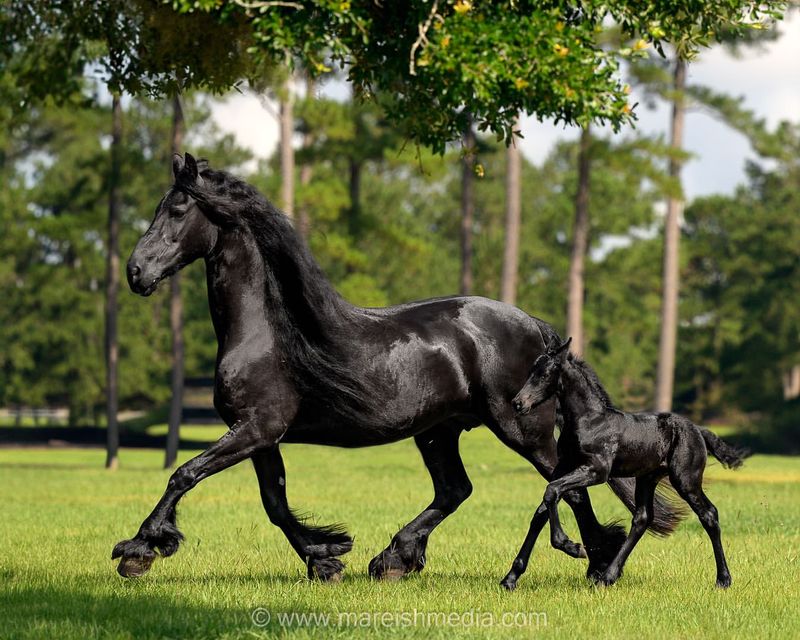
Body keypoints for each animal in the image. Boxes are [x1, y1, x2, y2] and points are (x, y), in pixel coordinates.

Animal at [112, 152, 680, 584]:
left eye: (177, 208)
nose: (135, 272)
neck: (268, 333)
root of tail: (536, 329)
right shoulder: (262, 436)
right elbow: (274, 503)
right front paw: (325, 558)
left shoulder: (255, 429)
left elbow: (184, 473)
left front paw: (139, 549)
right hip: (438, 431)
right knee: (456, 490)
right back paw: (393, 559)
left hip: (522, 428)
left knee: (569, 486)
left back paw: (598, 563)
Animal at [506, 340, 752, 592]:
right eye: (530, 372)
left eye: (544, 374)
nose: (518, 403)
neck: (589, 421)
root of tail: (698, 430)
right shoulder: (563, 467)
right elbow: (542, 509)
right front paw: (510, 578)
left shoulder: (596, 471)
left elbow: (551, 491)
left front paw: (571, 546)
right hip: (647, 479)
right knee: (642, 518)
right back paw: (608, 576)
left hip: (686, 480)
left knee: (709, 514)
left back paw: (723, 579)